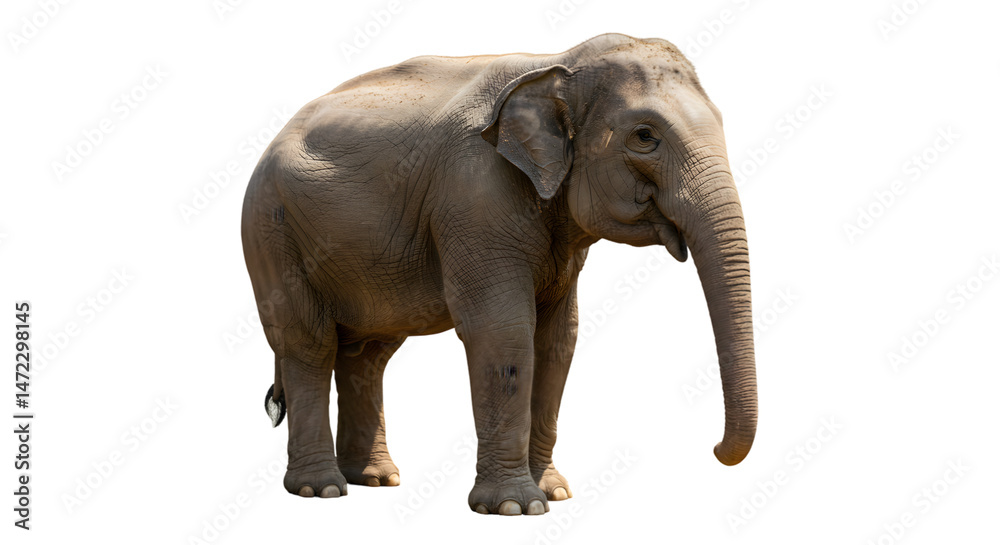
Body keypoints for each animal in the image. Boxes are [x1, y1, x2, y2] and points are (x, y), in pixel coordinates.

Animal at [241, 33, 757, 516]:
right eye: (645, 135)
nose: (715, 449)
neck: (555, 64)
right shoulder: (475, 196)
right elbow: (502, 330)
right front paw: (515, 507)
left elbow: (558, 339)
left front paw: (556, 493)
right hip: (271, 232)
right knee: (309, 344)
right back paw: (322, 489)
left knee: (368, 354)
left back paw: (376, 479)